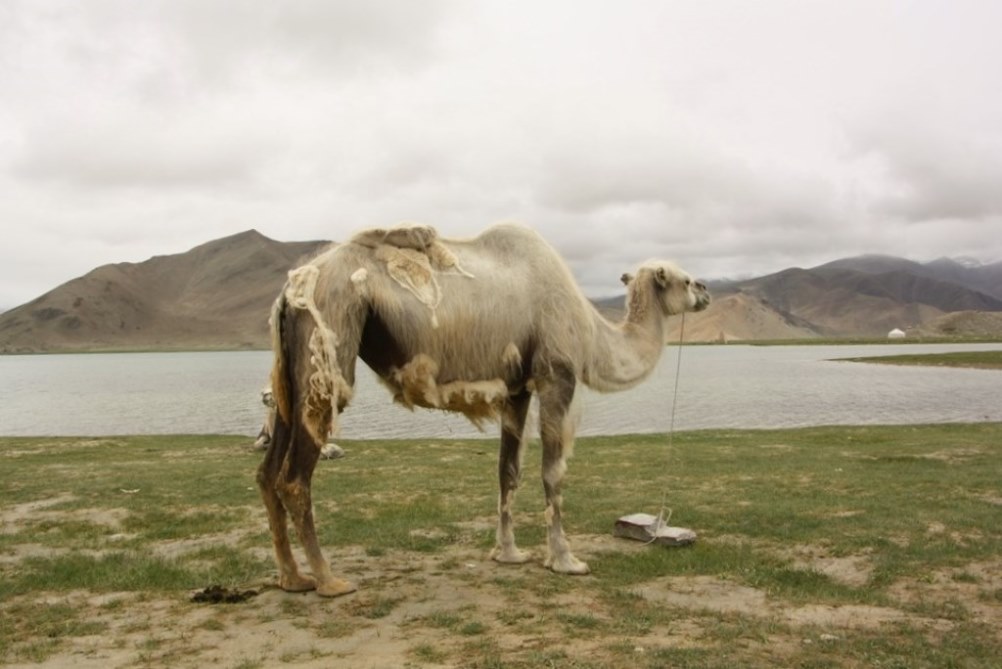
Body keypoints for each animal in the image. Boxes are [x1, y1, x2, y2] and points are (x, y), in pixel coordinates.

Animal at [258, 223, 713, 596]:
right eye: (685, 279)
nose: (706, 291)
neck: (591, 331)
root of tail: (287, 292)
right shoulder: (556, 375)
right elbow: (553, 472)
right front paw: (565, 561)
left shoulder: (516, 389)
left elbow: (507, 470)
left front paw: (508, 554)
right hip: (330, 336)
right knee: (295, 476)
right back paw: (329, 580)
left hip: (289, 378)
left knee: (267, 472)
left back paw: (293, 578)